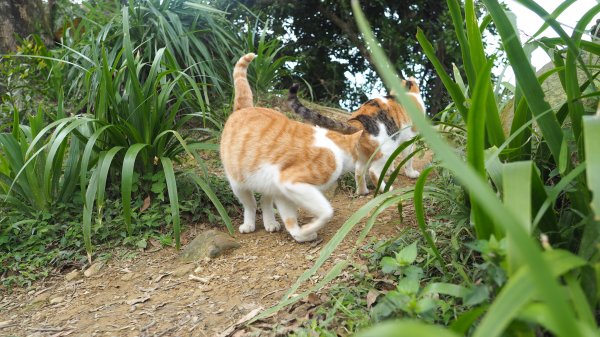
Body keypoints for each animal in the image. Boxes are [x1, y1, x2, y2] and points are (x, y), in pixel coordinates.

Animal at [219, 53, 364, 240]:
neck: (335, 149)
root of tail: (244, 108)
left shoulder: (283, 190)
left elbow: (290, 219)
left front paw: (301, 234)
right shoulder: (292, 182)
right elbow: (326, 212)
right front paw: (309, 229)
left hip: (267, 184)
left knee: (265, 201)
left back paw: (270, 223)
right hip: (238, 184)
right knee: (250, 204)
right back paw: (249, 224)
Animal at [288, 79, 424, 194]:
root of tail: (357, 121)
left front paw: (390, 170)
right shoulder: (409, 140)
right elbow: (408, 159)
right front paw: (411, 173)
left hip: (363, 154)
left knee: (358, 171)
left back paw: (362, 192)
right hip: (385, 148)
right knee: (373, 171)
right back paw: (385, 188)